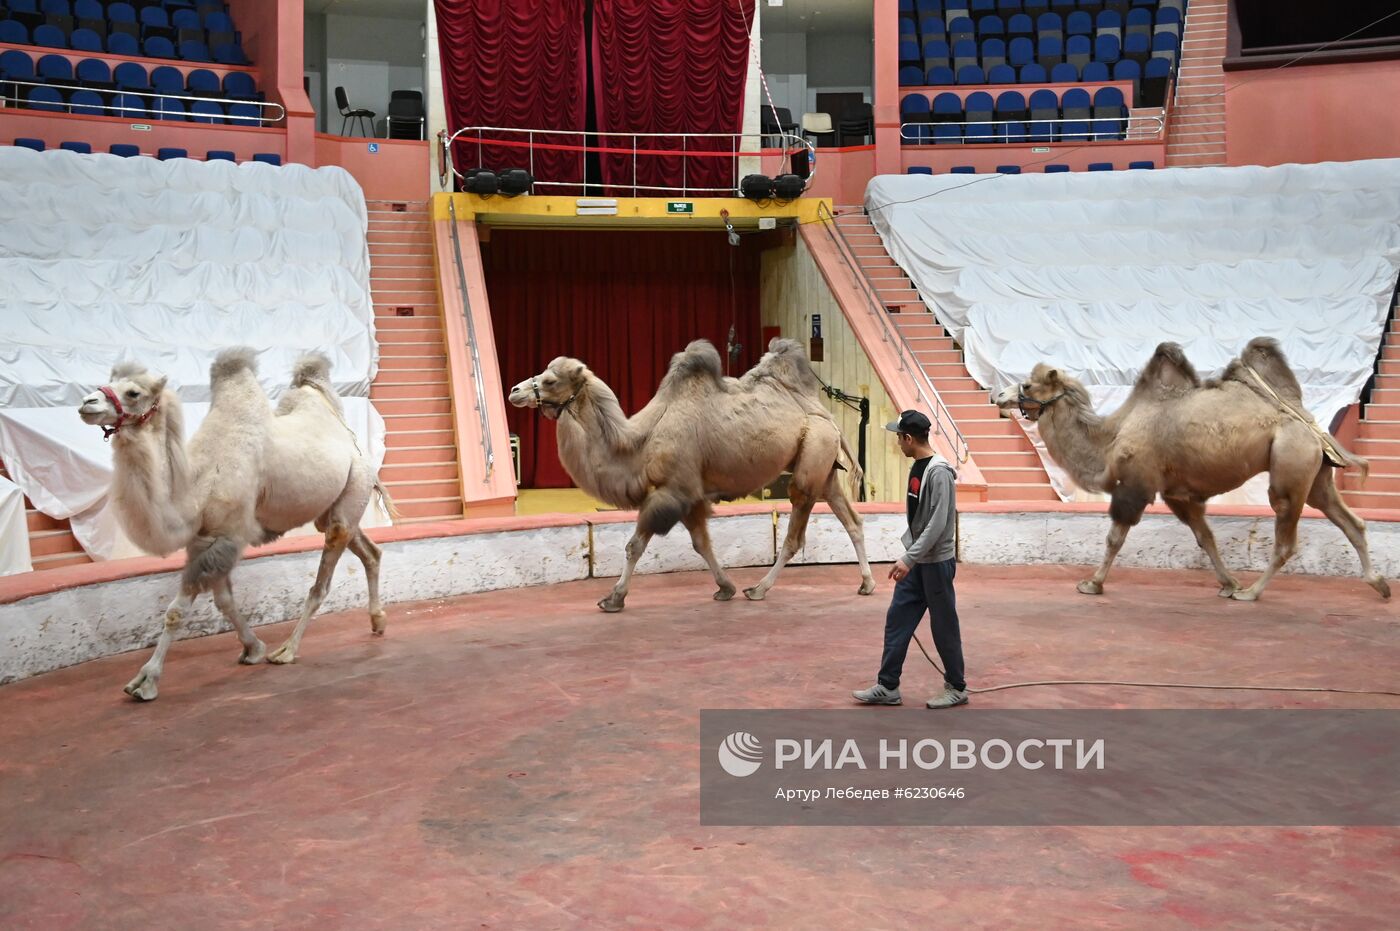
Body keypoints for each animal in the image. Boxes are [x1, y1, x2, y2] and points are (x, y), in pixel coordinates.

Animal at [78, 347, 394, 697]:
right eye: (109, 381)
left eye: (134, 392)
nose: (88, 402)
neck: (196, 488)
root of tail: (353, 443)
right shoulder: (203, 539)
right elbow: (223, 600)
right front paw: (252, 648)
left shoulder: (224, 536)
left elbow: (177, 611)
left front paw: (146, 680)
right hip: (333, 510)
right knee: (370, 551)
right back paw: (378, 620)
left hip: (353, 490)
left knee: (321, 583)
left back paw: (287, 650)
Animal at [504, 336, 873, 610]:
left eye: (550, 380)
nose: (514, 391)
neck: (638, 443)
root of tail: (826, 415)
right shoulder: (690, 495)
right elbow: (701, 543)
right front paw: (725, 587)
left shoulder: (671, 491)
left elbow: (634, 545)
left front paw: (613, 598)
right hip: (824, 469)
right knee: (852, 520)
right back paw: (866, 583)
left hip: (811, 463)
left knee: (796, 532)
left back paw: (759, 589)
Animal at [996, 337, 1388, 599]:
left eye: (1028, 383)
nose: (998, 396)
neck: (1109, 439)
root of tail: (1310, 423)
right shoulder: (1177, 493)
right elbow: (1205, 537)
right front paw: (1227, 582)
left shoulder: (1136, 485)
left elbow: (1114, 538)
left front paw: (1092, 583)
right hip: (1315, 470)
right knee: (1350, 520)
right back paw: (1379, 583)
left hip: (1290, 463)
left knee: (1286, 537)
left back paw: (1252, 592)